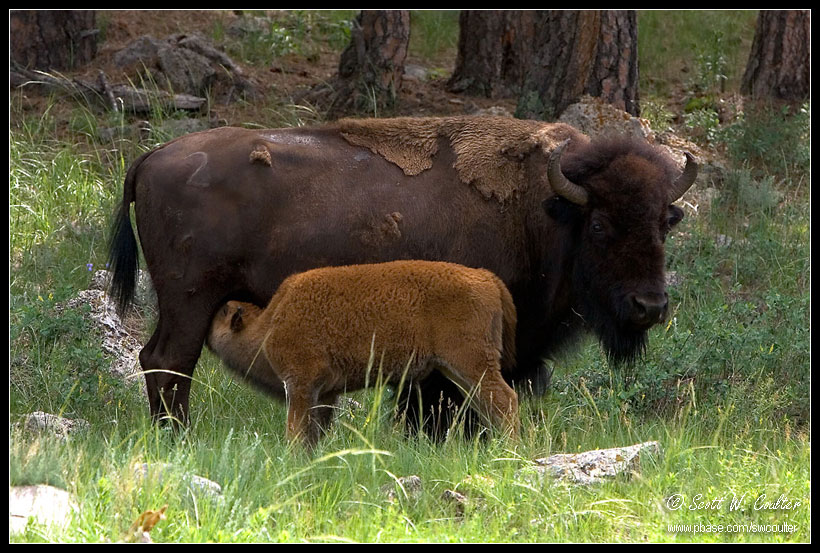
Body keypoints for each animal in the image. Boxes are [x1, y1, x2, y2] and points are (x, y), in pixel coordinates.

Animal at [210, 260, 520, 446]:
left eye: (223, 312)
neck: (269, 323)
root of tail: (486, 277)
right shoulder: (325, 393)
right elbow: (315, 431)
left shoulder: (299, 385)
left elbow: (296, 430)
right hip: (459, 371)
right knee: (487, 404)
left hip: (472, 364)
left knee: (505, 400)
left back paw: (510, 449)